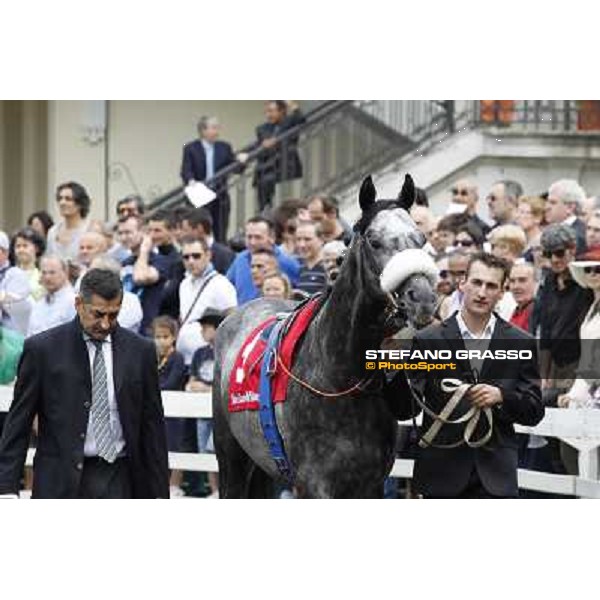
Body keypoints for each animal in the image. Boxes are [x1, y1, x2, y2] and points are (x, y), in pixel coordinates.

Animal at [213, 173, 438, 496]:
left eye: (421, 238)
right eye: (374, 240)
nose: (423, 298)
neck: (341, 378)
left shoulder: (371, 484)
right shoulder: (314, 485)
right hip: (232, 458)